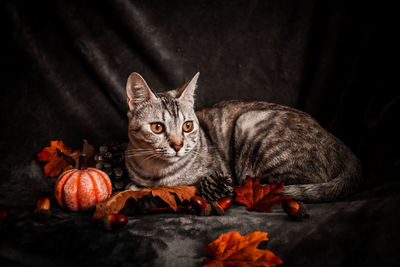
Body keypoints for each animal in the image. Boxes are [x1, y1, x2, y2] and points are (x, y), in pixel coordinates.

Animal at [126, 72, 362, 202]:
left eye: (187, 126)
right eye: (157, 128)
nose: (177, 145)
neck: (156, 173)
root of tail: (340, 144)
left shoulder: (214, 174)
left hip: (249, 122)